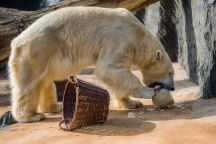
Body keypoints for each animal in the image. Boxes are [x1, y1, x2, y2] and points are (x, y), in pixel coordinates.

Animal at [8, 6, 175, 122]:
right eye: (171, 72)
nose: (172, 87)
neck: (137, 33)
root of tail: (16, 40)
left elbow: (117, 76)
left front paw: (132, 103)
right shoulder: (119, 38)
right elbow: (109, 69)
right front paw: (147, 92)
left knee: (45, 82)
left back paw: (55, 106)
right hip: (37, 51)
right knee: (29, 85)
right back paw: (31, 116)